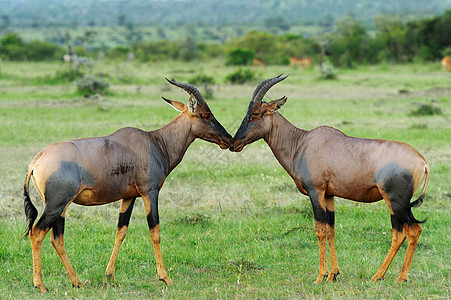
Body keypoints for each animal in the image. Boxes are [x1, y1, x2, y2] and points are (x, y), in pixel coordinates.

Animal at [23, 78, 231, 292]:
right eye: (205, 115)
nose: (229, 140)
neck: (154, 142)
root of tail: (36, 161)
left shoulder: (129, 196)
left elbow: (121, 231)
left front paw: (110, 275)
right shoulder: (150, 192)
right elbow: (155, 231)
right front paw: (165, 278)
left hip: (62, 207)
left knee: (57, 238)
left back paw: (77, 282)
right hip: (56, 205)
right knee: (37, 233)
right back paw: (41, 285)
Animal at [230, 74, 430, 284]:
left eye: (255, 113)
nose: (234, 144)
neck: (302, 143)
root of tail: (422, 161)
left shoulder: (315, 191)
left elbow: (320, 229)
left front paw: (320, 276)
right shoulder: (329, 195)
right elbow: (331, 229)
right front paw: (334, 274)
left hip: (396, 201)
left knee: (408, 231)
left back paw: (389, 277)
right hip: (399, 204)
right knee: (405, 232)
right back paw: (388, 276)